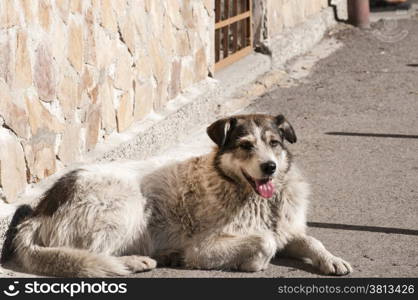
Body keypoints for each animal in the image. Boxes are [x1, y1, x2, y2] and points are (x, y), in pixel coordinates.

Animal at [0, 114, 352, 276]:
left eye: (274, 142)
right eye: (245, 145)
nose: (269, 167)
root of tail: (38, 210)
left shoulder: (288, 230)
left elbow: (311, 240)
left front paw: (332, 260)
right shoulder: (203, 248)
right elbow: (264, 242)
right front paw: (253, 263)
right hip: (126, 205)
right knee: (94, 255)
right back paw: (135, 261)